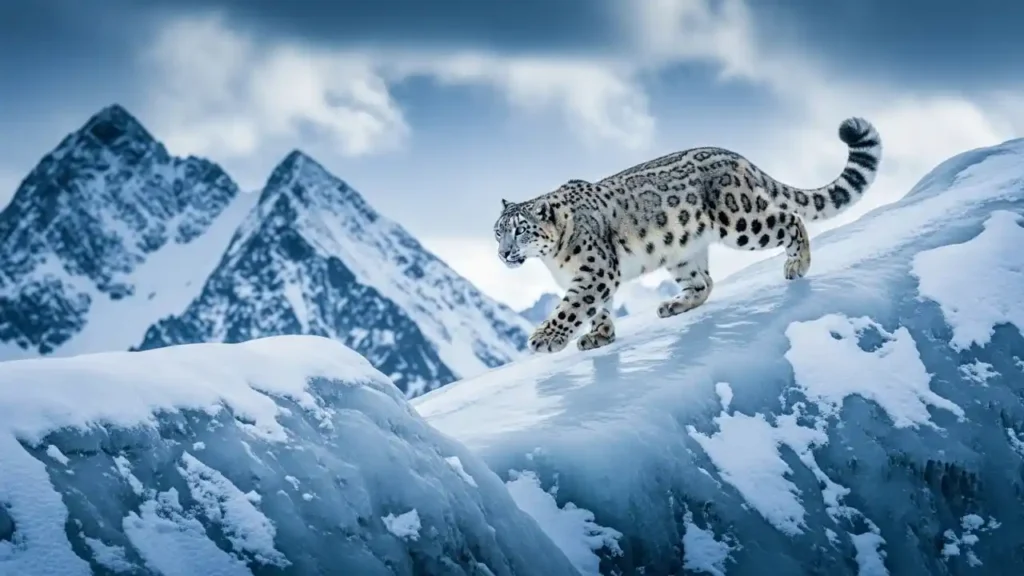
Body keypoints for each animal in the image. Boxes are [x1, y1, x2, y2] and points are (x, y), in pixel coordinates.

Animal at [493, 117, 883, 354]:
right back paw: (673, 305)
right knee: (704, 281)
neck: (553, 261)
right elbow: (597, 308)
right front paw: (600, 336)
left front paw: (545, 337)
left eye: (521, 230)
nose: (502, 253)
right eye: (498, 232)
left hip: (741, 220)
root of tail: (738, 157)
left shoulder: (595, 271)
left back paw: (796, 265)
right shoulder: (593, 277)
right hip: (681, 253)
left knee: (790, 218)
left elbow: (572, 306)